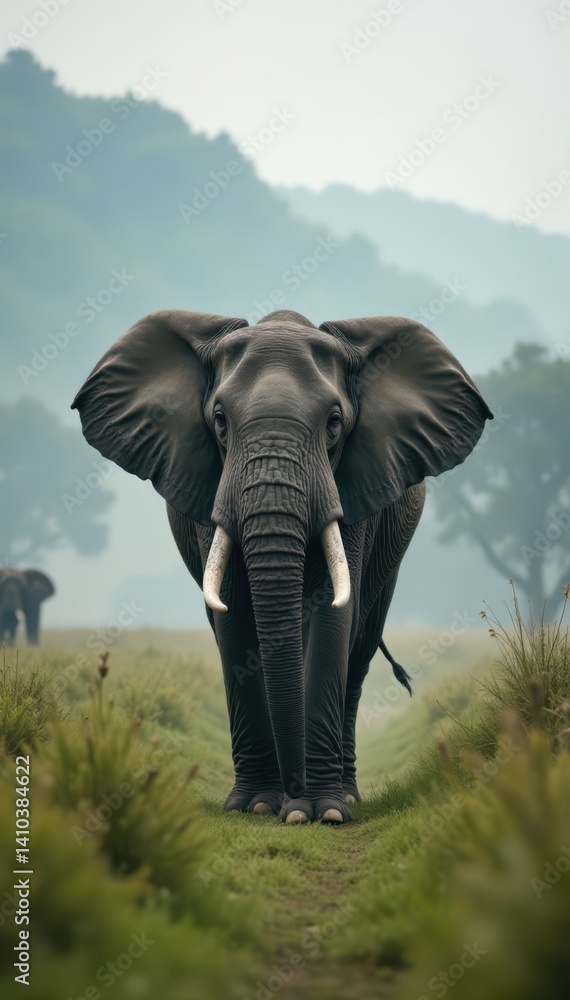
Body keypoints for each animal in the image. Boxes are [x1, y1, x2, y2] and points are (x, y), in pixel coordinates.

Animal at [72, 309, 492, 824]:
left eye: (334, 423)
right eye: (219, 421)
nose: (293, 801)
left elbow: (331, 614)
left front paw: (323, 812)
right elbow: (234, 617)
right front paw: (256, 806)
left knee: (359, 649)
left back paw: (347, 796)